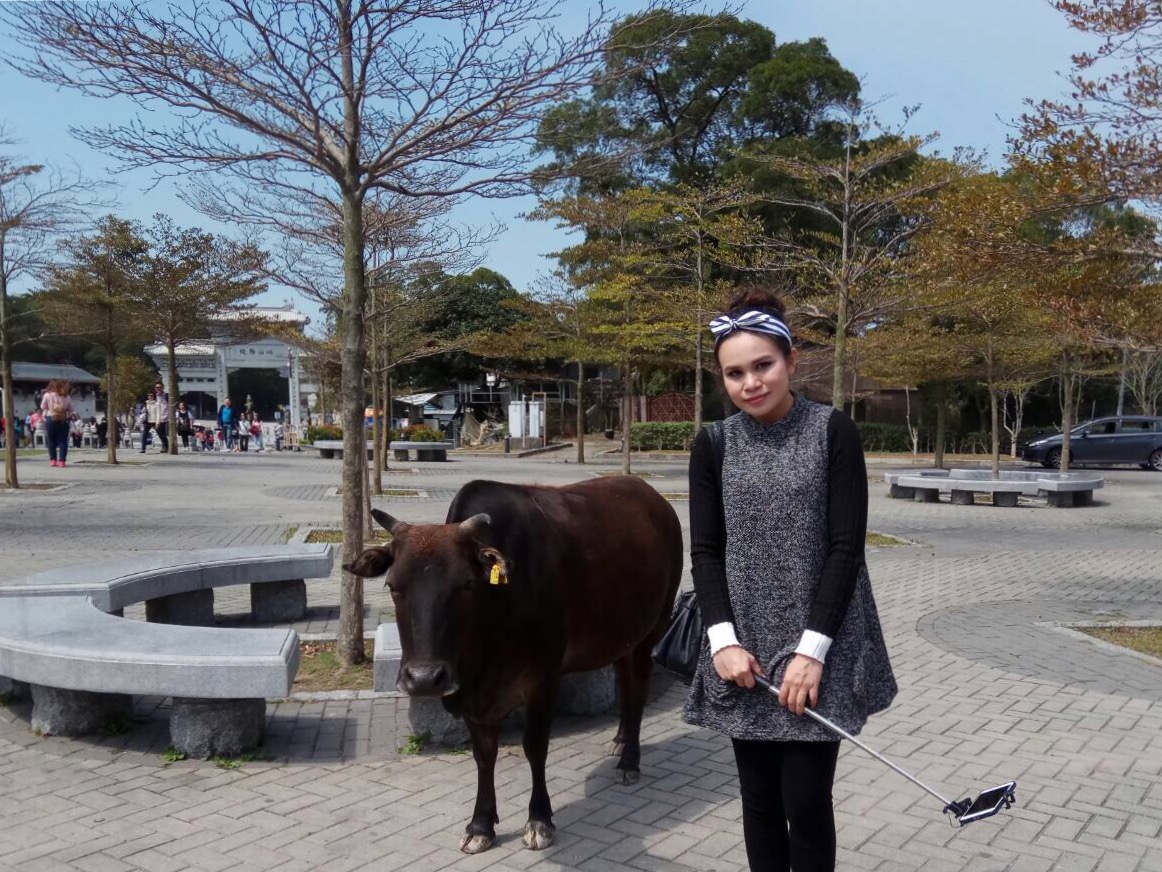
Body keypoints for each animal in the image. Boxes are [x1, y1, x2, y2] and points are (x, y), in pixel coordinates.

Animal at [343, 476, 683, 854]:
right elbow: (483, 754)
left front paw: (539, 820)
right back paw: (621, 740)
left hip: (652, 630)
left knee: (638, 690)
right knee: (625, 682)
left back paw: (629, 761)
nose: (425, 678)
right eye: (392, 586)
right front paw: (481, 824)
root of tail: (653, 497)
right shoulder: (473, 697)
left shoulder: (543, 680)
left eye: (467, 584)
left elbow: (534, 747)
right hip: (623, 636)